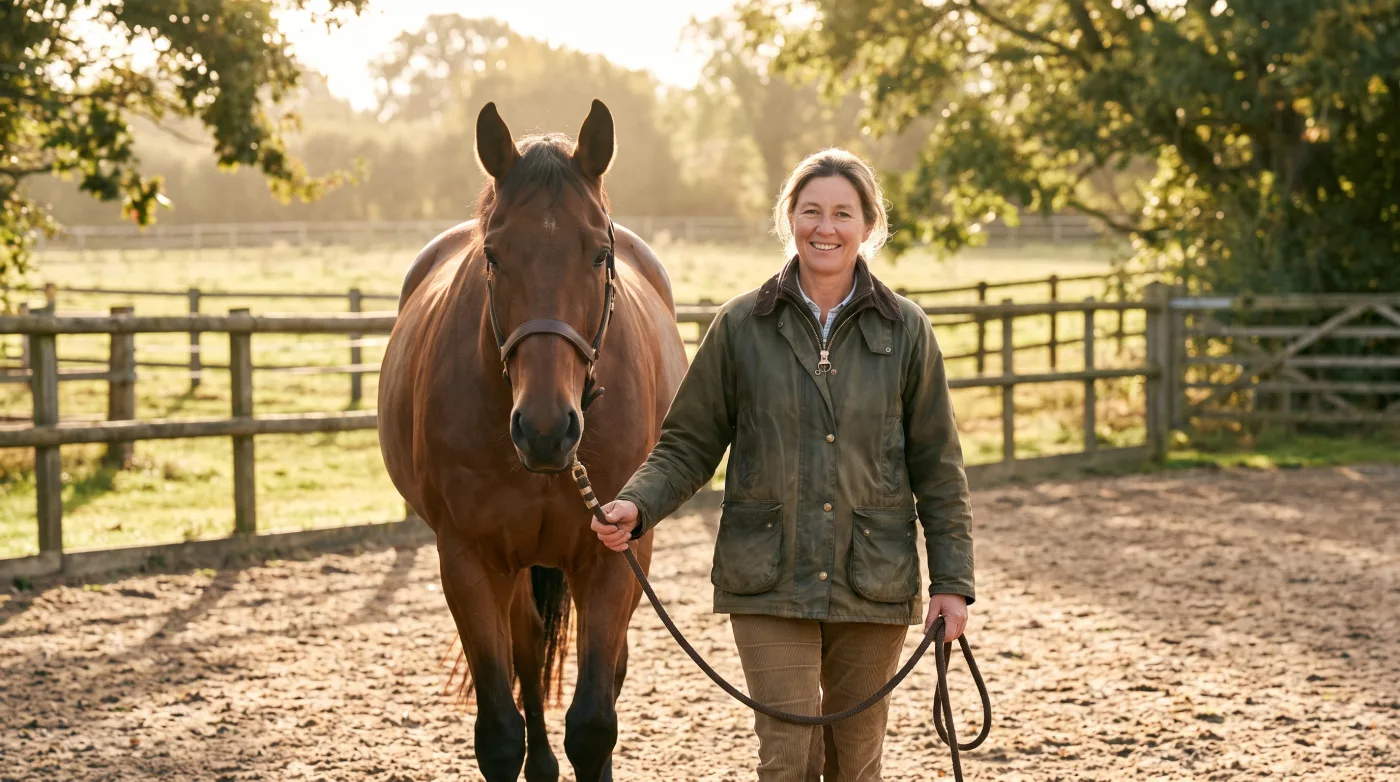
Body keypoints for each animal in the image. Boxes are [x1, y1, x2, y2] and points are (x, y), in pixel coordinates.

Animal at [377, 100, 687, 781]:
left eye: (599, 254)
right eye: (493, 256)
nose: (546, 430)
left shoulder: (610, 556)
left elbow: (594, 724)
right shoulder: (468, 560)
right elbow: (499, 731)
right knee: (527, 650)